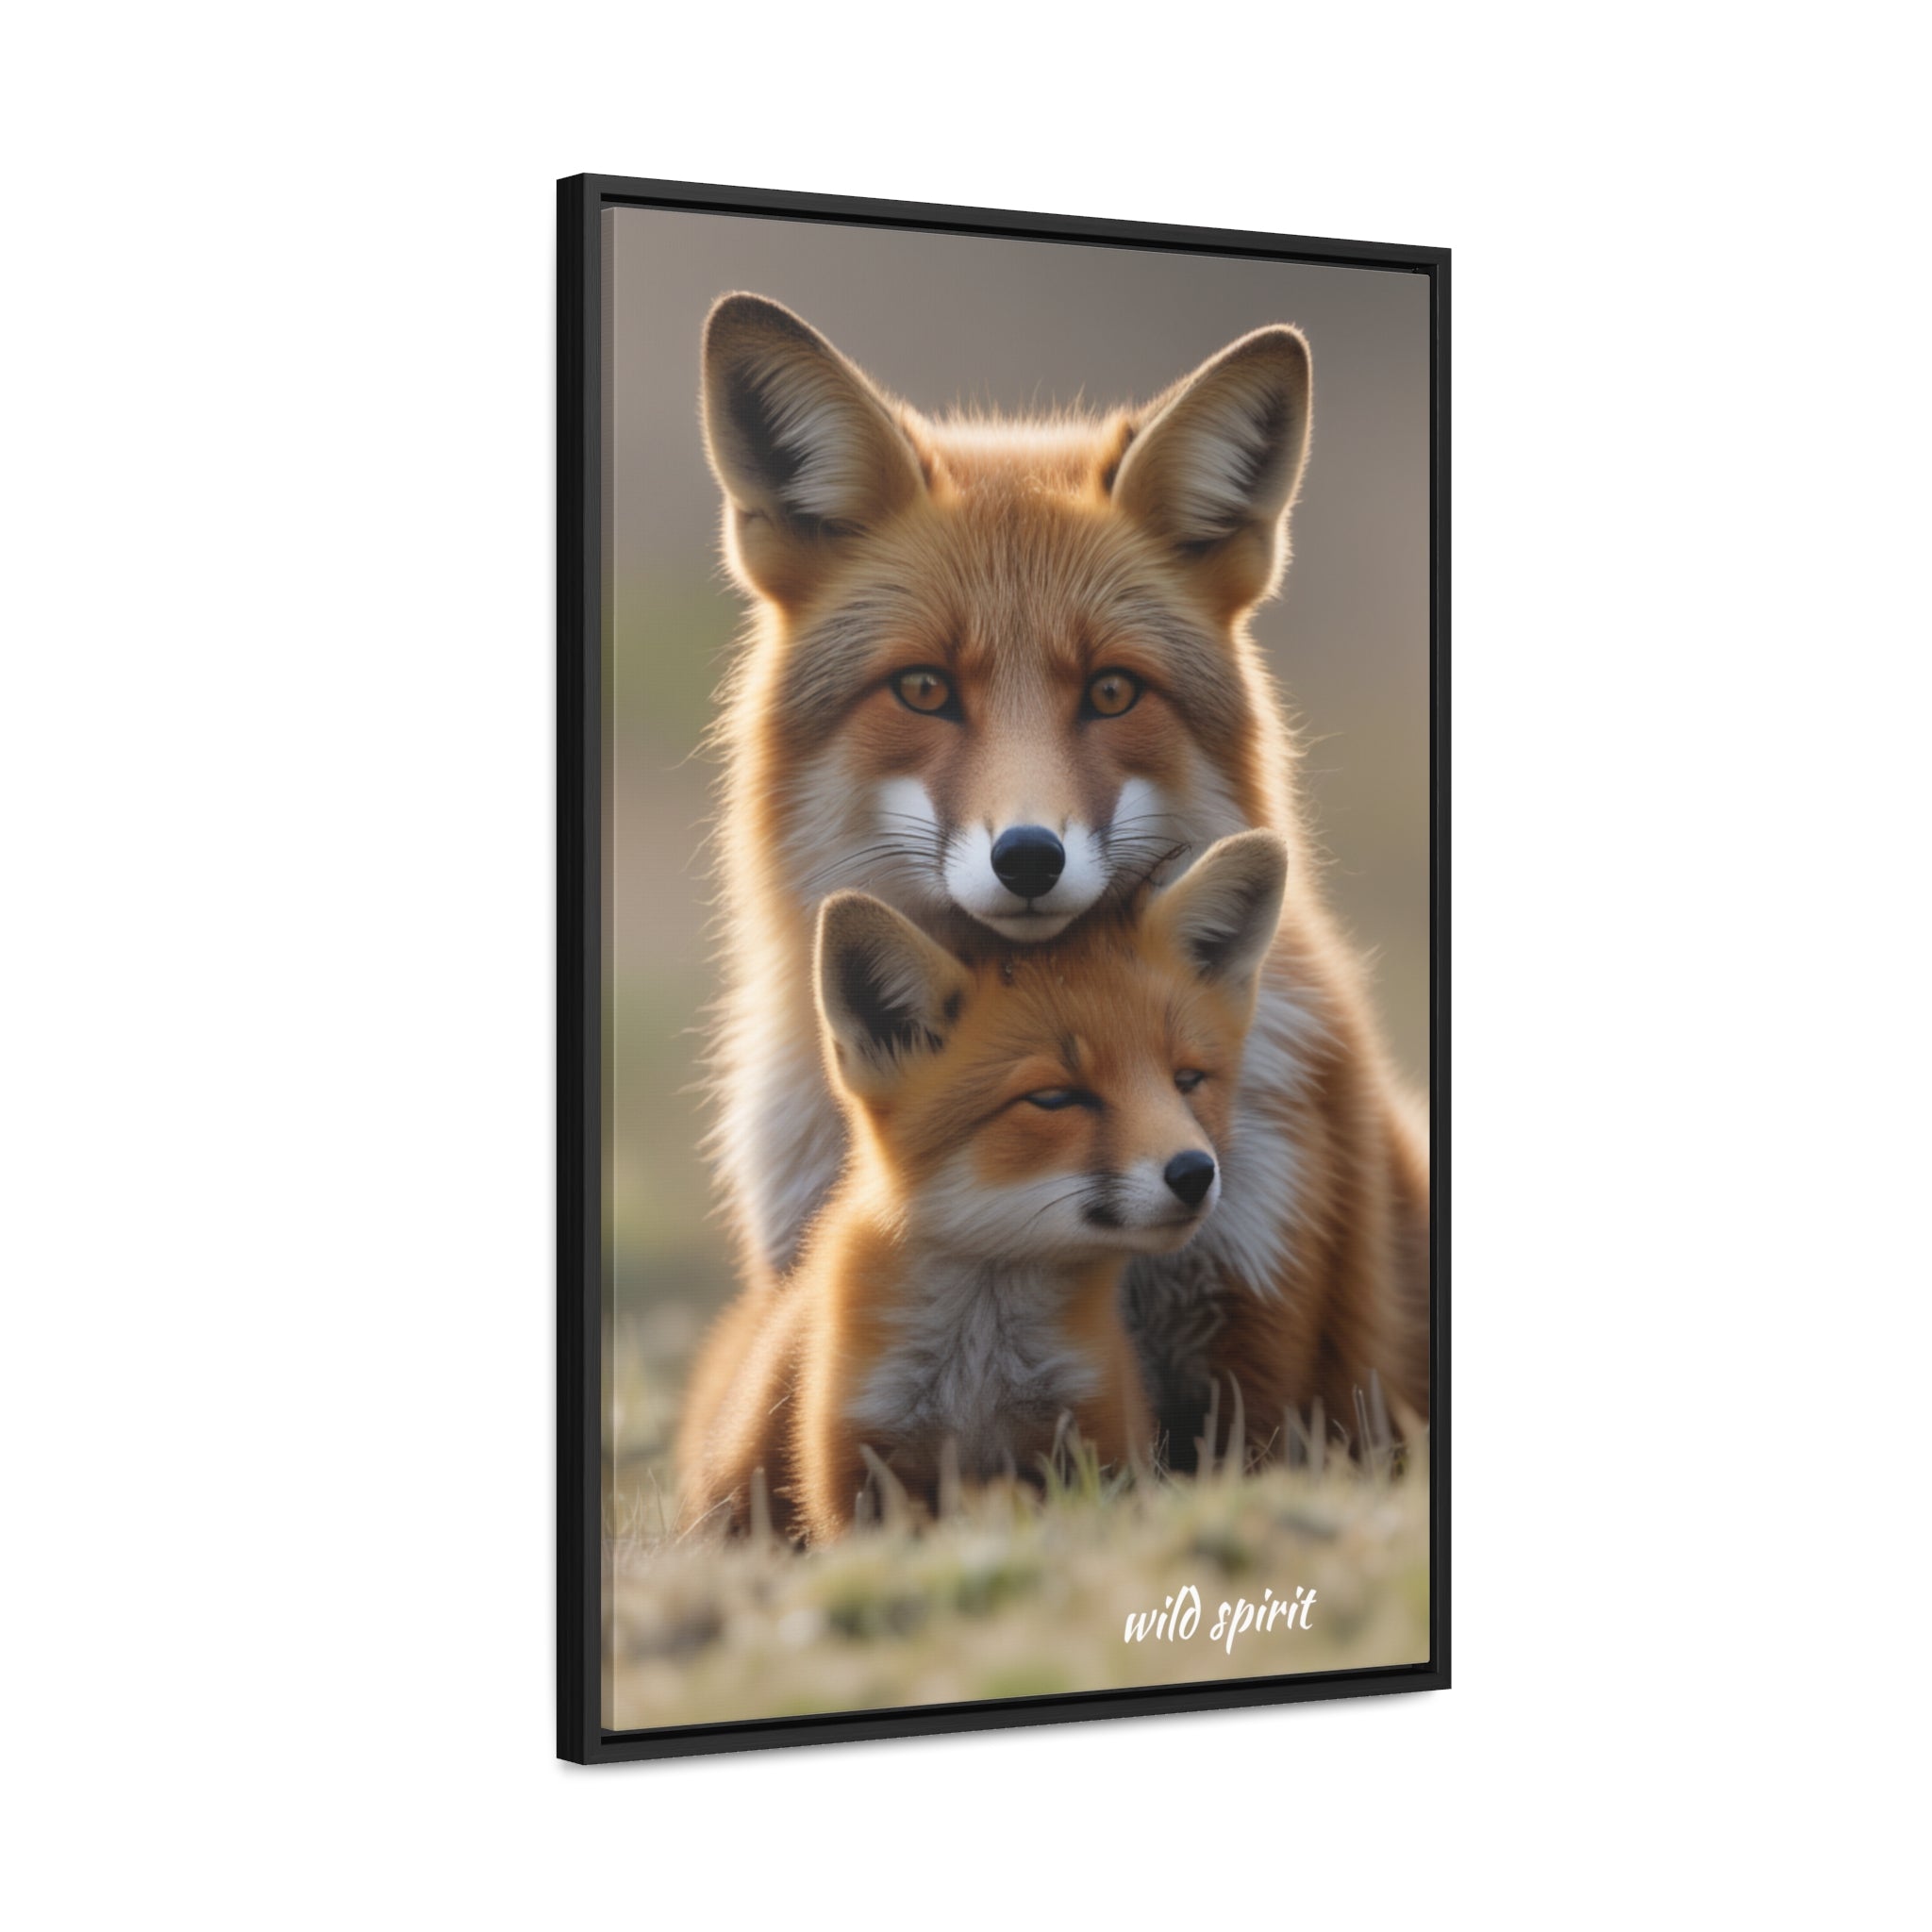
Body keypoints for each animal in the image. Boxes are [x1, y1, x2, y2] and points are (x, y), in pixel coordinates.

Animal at [676, 831, 1290, 1541]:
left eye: (1187, 1081)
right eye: (1054, 1098)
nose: (1195, 1172)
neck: (979, 1375)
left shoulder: (1097, 1437)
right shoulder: (855, 1466)